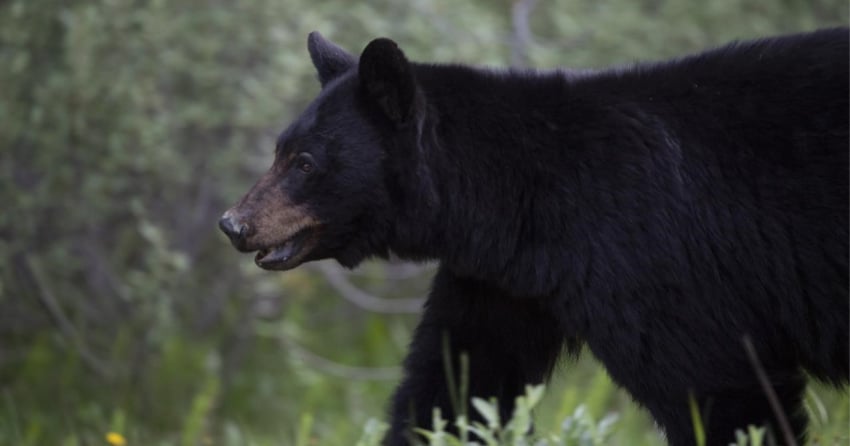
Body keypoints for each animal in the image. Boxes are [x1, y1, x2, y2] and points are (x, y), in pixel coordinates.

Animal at [219, 28, 849, 446]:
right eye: (279, 150)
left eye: (305, 162)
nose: (232, 224)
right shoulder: (503, 281)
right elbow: (457, 384)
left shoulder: (650, 256)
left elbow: (718, 386)